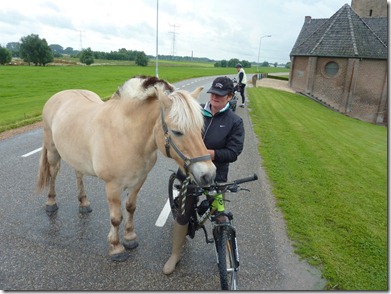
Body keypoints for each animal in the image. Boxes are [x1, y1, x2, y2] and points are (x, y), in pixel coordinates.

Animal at [36, 76, 217, 262]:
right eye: (177, 132)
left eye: (200, 128)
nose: (209, 174)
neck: (127, 136)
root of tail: (59, 95)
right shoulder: (113, 186)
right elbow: (116, 218)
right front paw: (116, 247)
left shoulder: (138, 181)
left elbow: (130, 208)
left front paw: (130, 238)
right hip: (53, 152)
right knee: (53, 174)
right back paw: (51, 203)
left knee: (79, 174)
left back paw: (84, 203)